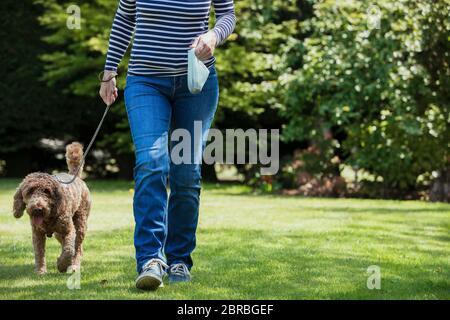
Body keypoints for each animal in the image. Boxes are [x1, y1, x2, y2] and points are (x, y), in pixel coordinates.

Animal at [12, 142, 91, 276]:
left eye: (47, 192)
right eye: (30, 191)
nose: (38, 208)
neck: (48, 217)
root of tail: (74, 176)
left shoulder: (68, 231)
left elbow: (69, 250)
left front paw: (62, 265)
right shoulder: (37, 233)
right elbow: (39, 253)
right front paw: (40, 271)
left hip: (80, 222)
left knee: (77, 247)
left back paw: (74, 265)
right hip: (58, 233)